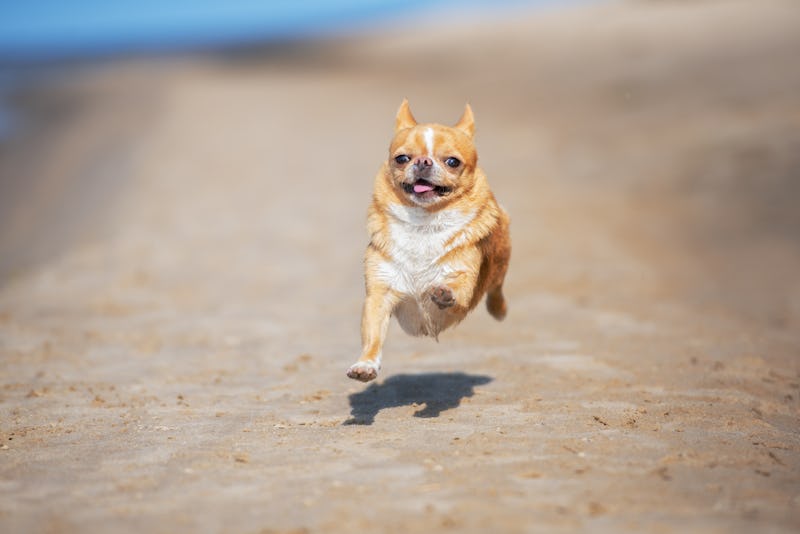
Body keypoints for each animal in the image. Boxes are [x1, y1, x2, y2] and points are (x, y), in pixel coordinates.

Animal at [346, 100, 510, 384]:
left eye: (452, 162)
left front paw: (444, 293)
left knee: (496, 286)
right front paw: (365, 364)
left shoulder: (463, 281)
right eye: (402, 158)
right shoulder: (379, 295)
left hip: (501, 256)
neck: (424, 224)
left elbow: (456, 288)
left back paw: (498, 309)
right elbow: (373, 337)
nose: (423, 161)